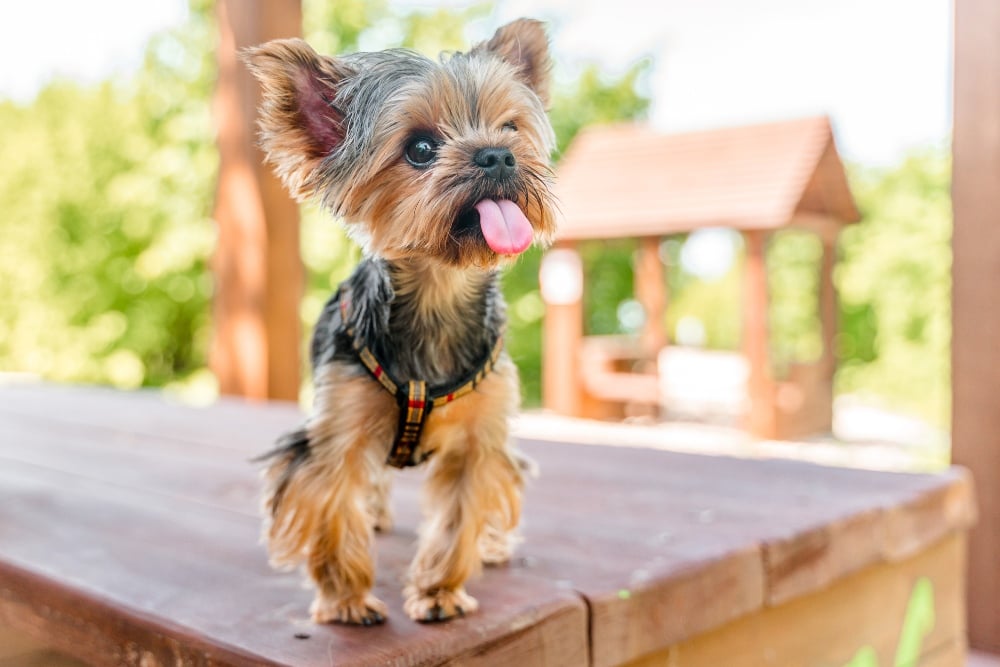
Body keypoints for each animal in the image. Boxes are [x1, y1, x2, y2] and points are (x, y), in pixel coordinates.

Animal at [242, 19, 556, 628]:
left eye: (511, 127)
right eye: (420, 149)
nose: (498, 155)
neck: (439, 293)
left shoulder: (481, 438)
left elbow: (461, 516)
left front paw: (438, 591)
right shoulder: (335, 431)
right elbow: (333, 510)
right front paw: (346, 599)